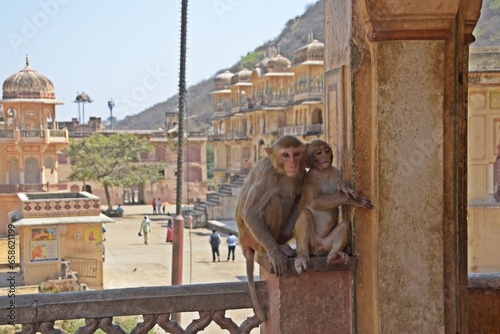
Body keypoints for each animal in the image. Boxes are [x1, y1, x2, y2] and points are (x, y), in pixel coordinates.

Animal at [235, 135, 308, 320]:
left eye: (296, 154)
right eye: (285, 155)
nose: (293, 164)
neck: (282, 172)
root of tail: (243, 243)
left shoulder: (303, 175)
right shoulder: (266, 175)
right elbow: (250, 212)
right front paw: (275, 254)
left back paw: (282, 245)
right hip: (251, 235)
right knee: (273, 200)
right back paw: (268, 251)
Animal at [294, 138, 374, 274]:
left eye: (326, 151)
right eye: (319, 153)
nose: (325, 156)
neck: (325, 173)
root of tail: (318, 249)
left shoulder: (335, 172)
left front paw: (343, 186)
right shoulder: (311, 176)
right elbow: (315, 201)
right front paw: (349, 199)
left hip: (326, 245)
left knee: (345, 225)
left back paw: (335, 256)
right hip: (312, 243)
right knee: (305, 214)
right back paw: (302, 255)